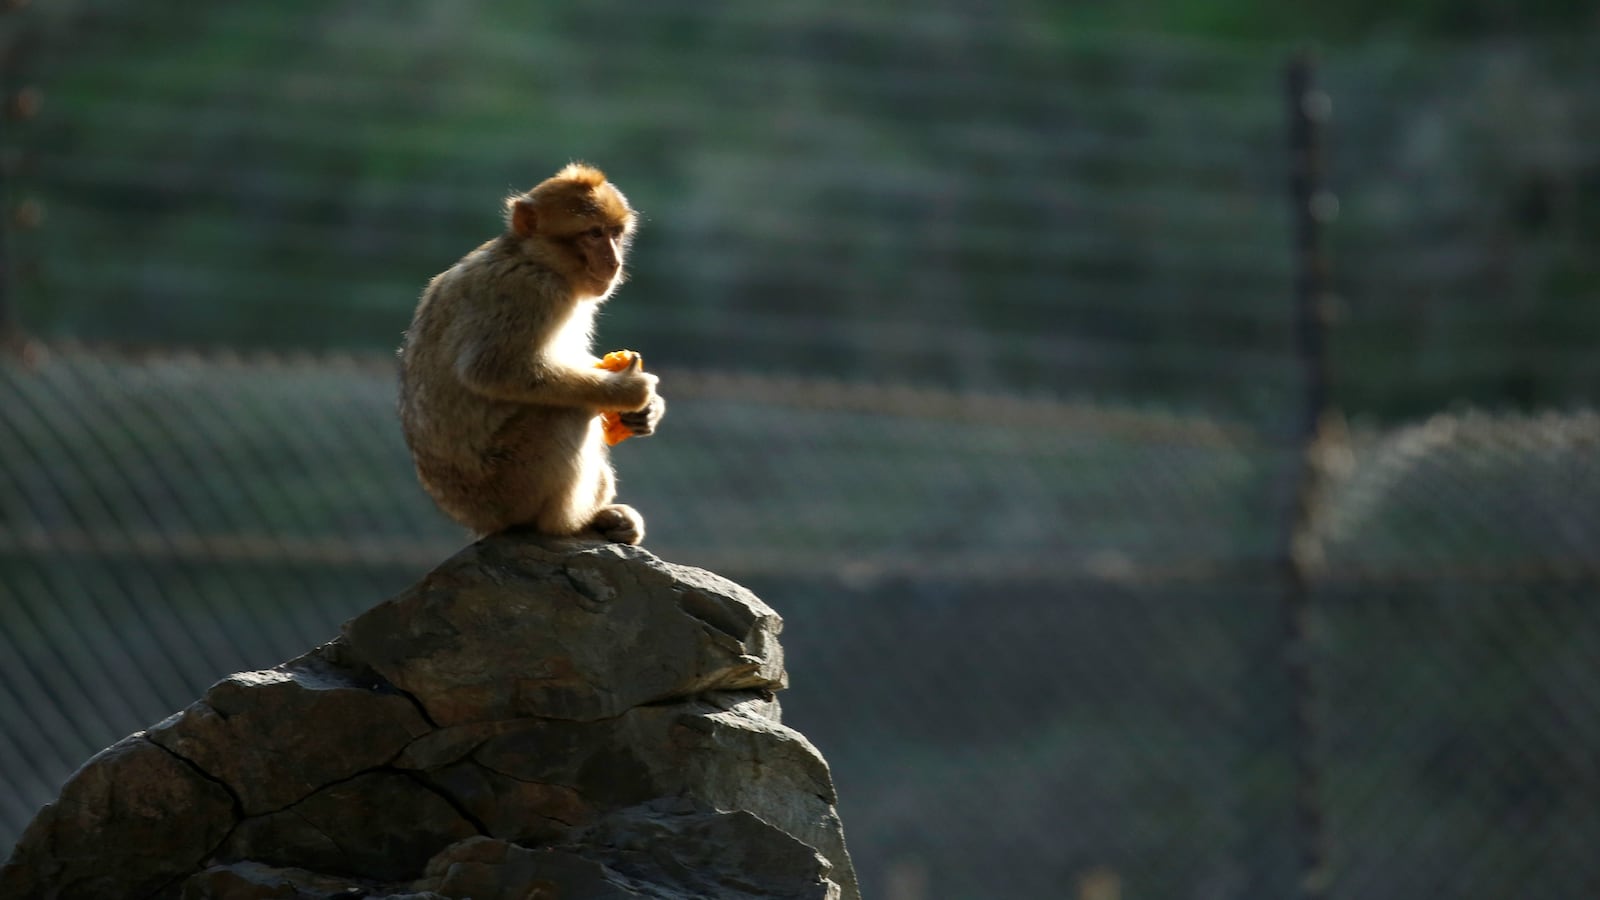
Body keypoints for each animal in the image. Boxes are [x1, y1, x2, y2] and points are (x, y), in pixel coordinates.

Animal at [397, 163, 666, 544]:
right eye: (593, 234)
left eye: (615, 234)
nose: (614, 262)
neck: (532, 257)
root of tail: (478, 522)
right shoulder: (532, 291)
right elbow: (492, 370)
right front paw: (626, 391)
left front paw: (649, 410)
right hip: (509, 488)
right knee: (566, 411)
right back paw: (570, 524)